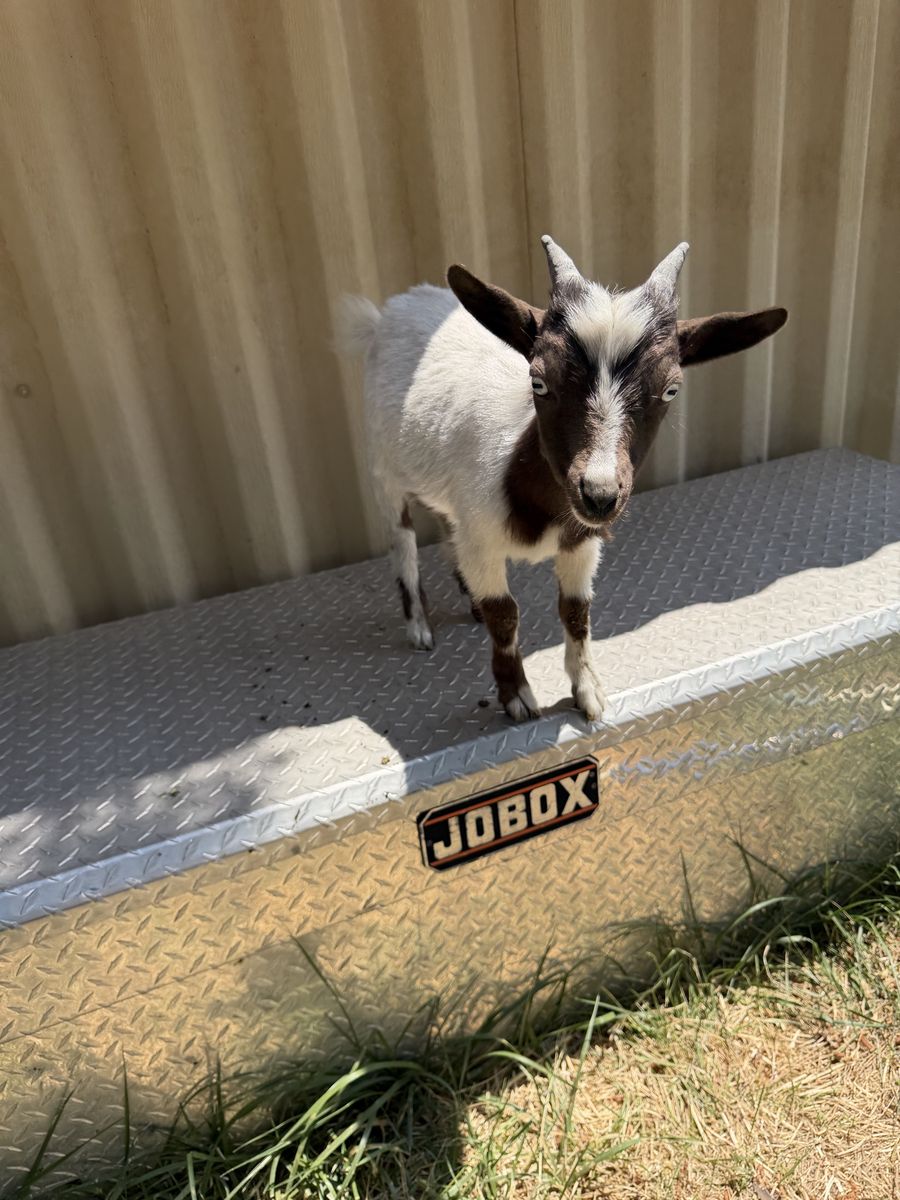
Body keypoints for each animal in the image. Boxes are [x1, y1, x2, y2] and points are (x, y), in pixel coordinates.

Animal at [338, 237, 787, 723]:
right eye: (538, 381)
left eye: (671, 389)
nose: (600, 494)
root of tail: (390, 312)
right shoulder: (483, 539)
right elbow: (505, 615)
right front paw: (516, 696)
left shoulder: (579, 542)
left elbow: (575, 611)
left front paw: (587, 690)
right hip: (383, 470)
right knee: (402, 541)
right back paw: (419, 627)